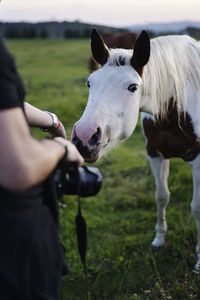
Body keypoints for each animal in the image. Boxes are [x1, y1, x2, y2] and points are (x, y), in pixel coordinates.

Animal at [71, 29, 200, 274]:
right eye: (90, 83)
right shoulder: (155, 154)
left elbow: (196, 206)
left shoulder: (198, 160)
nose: (84, 138)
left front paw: (199, 260)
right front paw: (159, 239)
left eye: (133, 87)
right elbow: (162, 196)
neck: (175, 109)